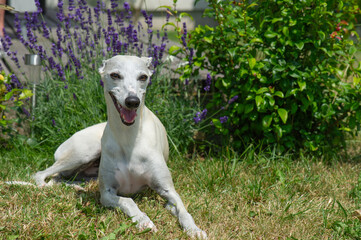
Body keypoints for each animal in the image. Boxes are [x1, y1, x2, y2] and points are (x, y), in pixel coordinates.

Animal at [34, 55, 208, 238]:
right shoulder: (107, 193)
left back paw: (74, 186)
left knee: (59, 178)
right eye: (115, 75)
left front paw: (194, 229)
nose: (132, 101)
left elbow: (182, 210)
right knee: (41, 175)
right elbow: (128, 201)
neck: (129, 138)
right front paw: (143, 220)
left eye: (143, 77)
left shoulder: (168, 190)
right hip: (84, 153)